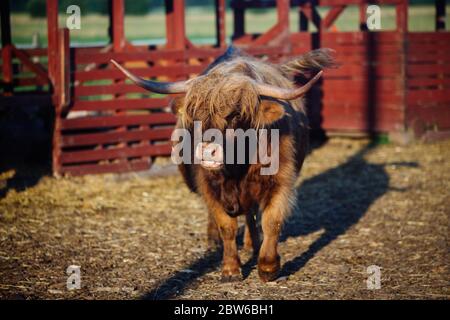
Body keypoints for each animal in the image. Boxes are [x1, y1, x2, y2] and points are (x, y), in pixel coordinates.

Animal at [111, 46, 336, 282]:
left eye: (235, 115)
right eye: (195, 114)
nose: (206, 151)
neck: (237, 167)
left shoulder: (280, 181)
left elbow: (271, 221)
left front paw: (268, 267)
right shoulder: (209, 186)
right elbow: (226, 226)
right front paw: (230, 269)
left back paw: (252, 243)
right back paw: (215, 241)